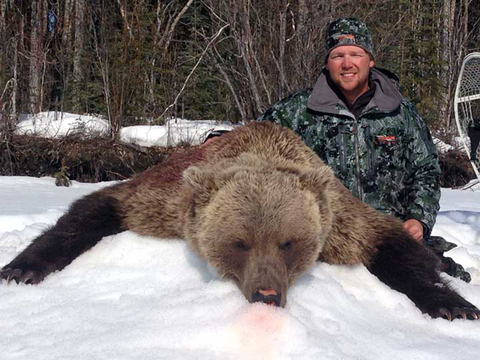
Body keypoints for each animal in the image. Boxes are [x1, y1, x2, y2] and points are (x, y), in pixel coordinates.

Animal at [0, 121, 480, 320]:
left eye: (288, 242)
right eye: (239, 242)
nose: (266, 295)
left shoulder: (340, 221)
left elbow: (392, 244)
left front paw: (452, 304)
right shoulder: (167, 200)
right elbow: (97, 209)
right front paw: (21, 267)